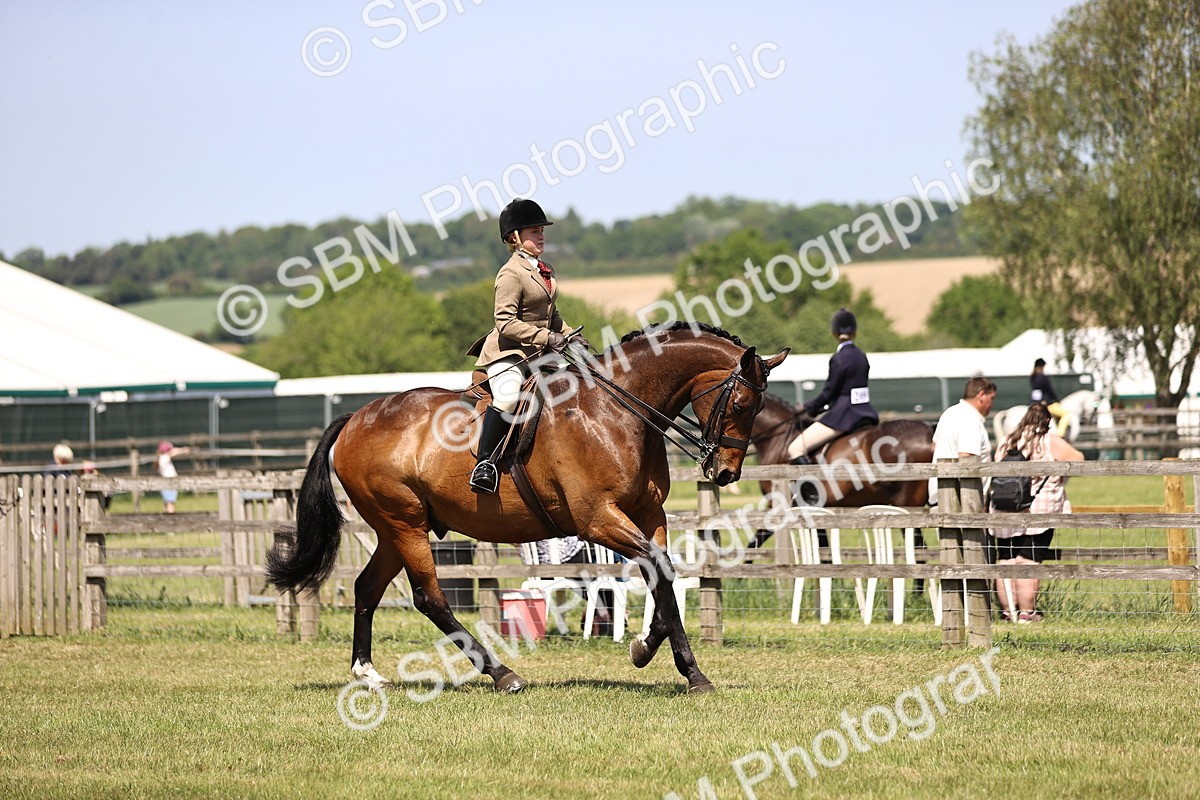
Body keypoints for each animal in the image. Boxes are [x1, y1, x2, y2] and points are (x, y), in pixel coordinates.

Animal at [265, 321, 788, 695]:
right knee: (429, 598)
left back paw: (367, 672)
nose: (725, 473)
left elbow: (664, 573)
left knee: (367, 587)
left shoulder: (648, 515)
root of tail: (356, 416)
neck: (617, 412)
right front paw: (679, 668)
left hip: (396, 530)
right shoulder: (598, 520)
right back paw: (503, 674)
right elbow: (658, 569)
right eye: (741, 403)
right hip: (404, 523)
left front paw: (653, 653)